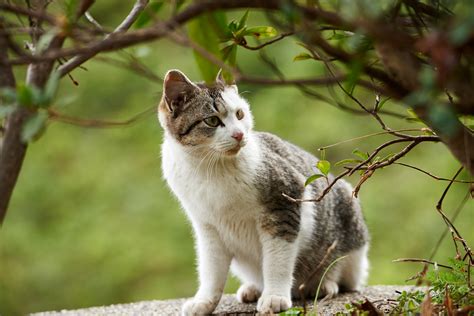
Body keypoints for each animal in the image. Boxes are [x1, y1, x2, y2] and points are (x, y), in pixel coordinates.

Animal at [157, 69, 368, 316]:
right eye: (212, 120)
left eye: (239, 114)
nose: (239, 135)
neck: (210, 168)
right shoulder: (207, 226)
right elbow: (211, 269)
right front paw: (205, 301)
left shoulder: (284, 201)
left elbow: (276, 260)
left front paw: (274, 296)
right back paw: (253, 288)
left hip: (346, 212)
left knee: (344, 275)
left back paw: (324, 284)